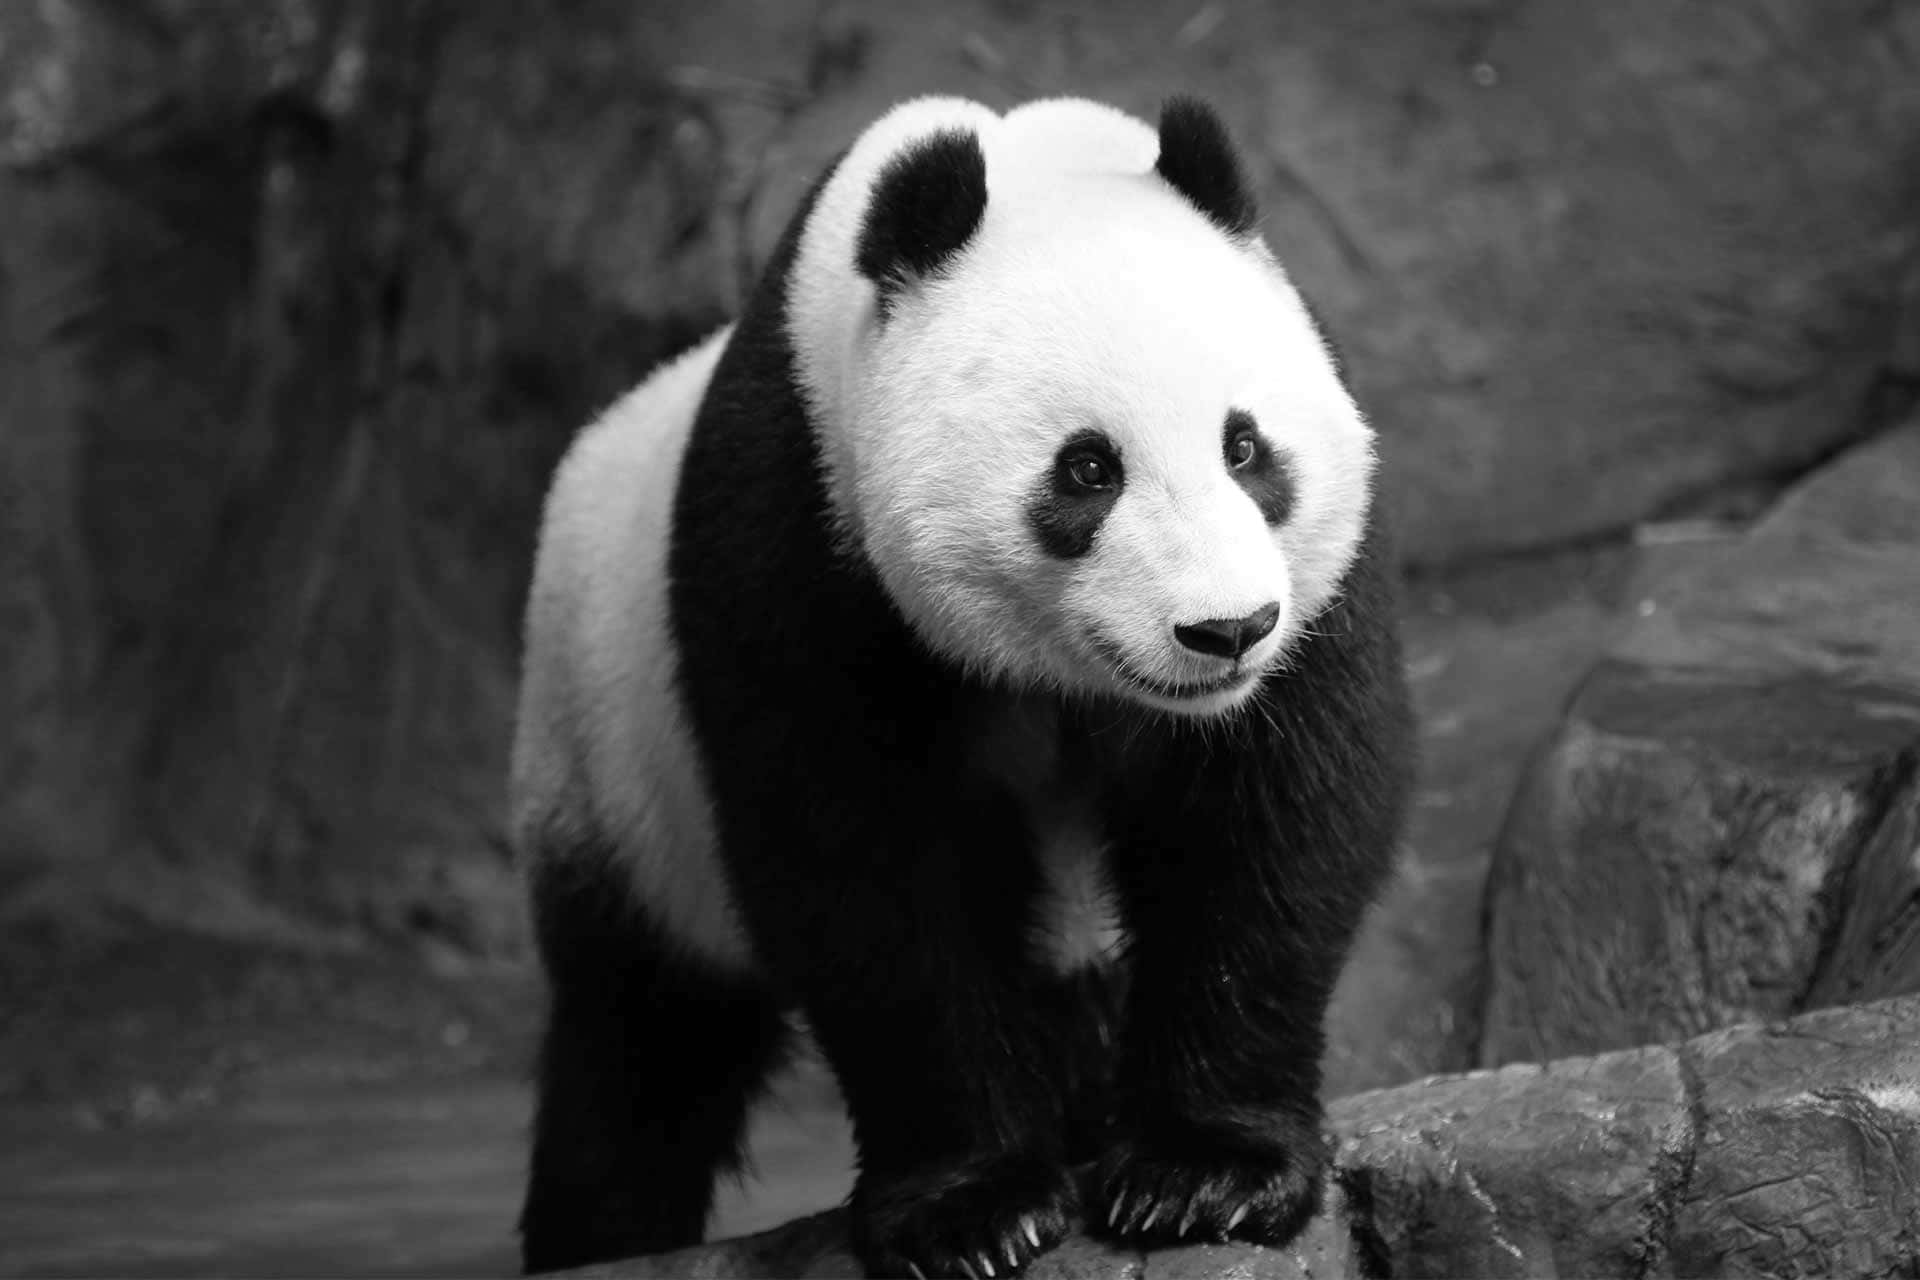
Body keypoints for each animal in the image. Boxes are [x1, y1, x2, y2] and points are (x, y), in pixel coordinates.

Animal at [510, 94, 1413, 1279]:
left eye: (1247, 447)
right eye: (1087, 468)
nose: (1224, 631)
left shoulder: (1314, 602)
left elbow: (1270, 826)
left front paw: (1204, 1173)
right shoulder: (803, 529)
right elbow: (861, 863)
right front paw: (973, 1209)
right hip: (603, 759)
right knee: (639, 1050)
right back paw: (599, 1233)